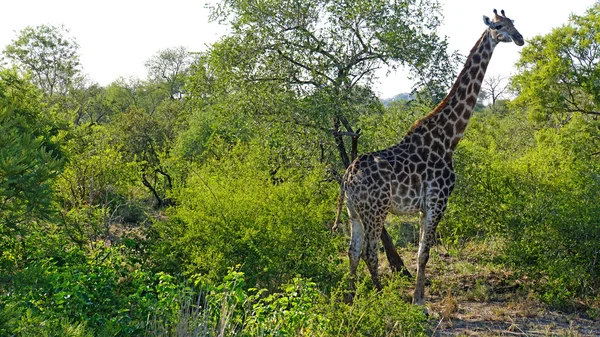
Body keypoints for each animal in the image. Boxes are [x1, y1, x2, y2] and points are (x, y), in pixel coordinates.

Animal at [336, 9, 524, 304]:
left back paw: (351, 298)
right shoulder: (439, 199)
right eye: (497, 26)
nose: (520, 38)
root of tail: (347, 177)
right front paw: (418, 302)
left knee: (353, 252)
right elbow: (424, 253)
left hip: (353, 212)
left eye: (514, 23)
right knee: (369, 252)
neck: (449, 138)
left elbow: (421, 253)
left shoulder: (425, 205)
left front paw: (419, 297)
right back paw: (381, 296)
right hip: (375, 210)